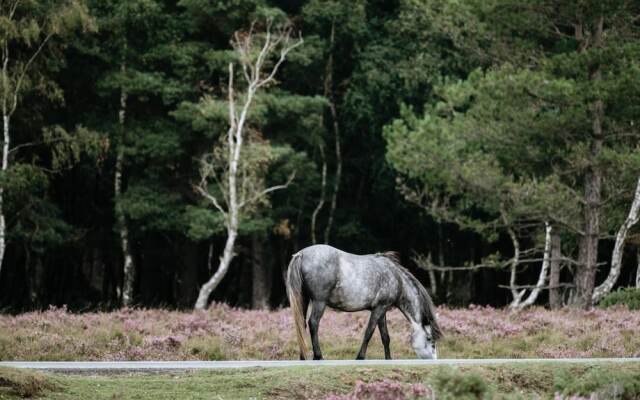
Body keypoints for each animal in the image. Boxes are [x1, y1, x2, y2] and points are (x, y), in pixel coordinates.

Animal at [284, 245, 440, 360]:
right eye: (429, 339)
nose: (434, 360)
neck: (396, 278)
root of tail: (301, 254)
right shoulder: (379, 309)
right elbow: (369, 332)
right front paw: (360, 357)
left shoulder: (381, 310)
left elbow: (385, 337)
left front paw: (388, 359)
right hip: (319, 302)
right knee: (313, 323)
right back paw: (318, 356)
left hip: (303, 300)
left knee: (301, 324)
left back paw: (303, 357)